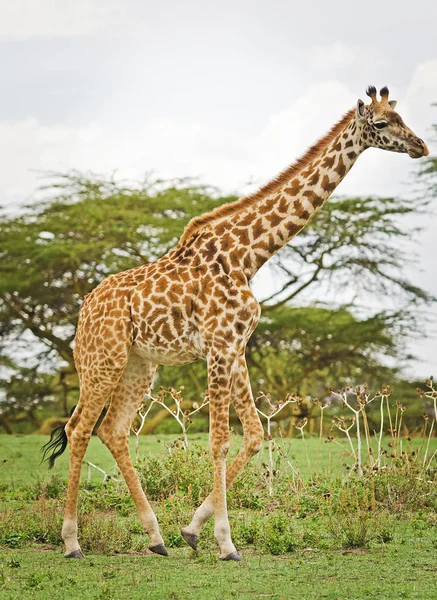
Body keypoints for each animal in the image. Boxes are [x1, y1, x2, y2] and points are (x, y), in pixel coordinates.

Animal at [43, 86, 426, 560]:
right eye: (381, 123)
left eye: (402, 117)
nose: (420, 146)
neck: (248, 255)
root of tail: (82, 311)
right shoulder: (219, 345)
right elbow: (220, 440)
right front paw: (225, 543)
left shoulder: (236, 345)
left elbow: (256, 435)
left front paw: (193, 528)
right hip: (104, 359)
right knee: (79, 428)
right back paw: (71, 541)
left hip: (139, 364)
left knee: (113, 431)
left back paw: (156, 537)